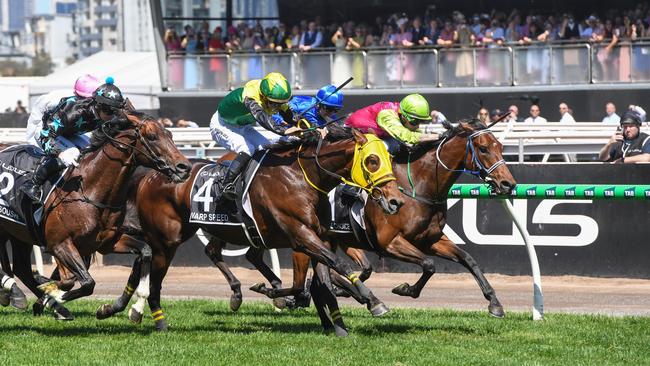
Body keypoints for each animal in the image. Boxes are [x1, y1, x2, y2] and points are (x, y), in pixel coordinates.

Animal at [0, 111, 190, 314]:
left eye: (170, 134)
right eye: (152, 136)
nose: (184, 167)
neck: (90, 190)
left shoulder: (107, 242)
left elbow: (146, 251)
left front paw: (136, 307)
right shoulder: (59, 244)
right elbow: (84, 283)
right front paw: (51, 297)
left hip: (19, 233)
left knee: (22, 269)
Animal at [97, 127, 402, 334]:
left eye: (389, 158)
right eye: (372, 160)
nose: (395, 200)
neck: (303, 178)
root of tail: (151, 174)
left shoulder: (316, 237)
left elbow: (321, 281)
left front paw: (338, 324)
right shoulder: (301, 236)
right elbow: (332, 270)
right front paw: (370, 300)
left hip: (191, 231)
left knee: (152, 259)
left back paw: (121, 309)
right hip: (167, 239)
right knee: (155, 275)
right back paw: (153, 317)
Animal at [202, 118, 516, 328]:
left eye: (501, 146)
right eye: (484, 149)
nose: (508, 184)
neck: (417, 185)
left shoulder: (431, 239)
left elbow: (467, 259)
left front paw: (495, 303)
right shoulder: (390, 242)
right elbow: (428, 265)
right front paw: (404, 289)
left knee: (255, 256)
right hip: (284, 234)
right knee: (236, 255)